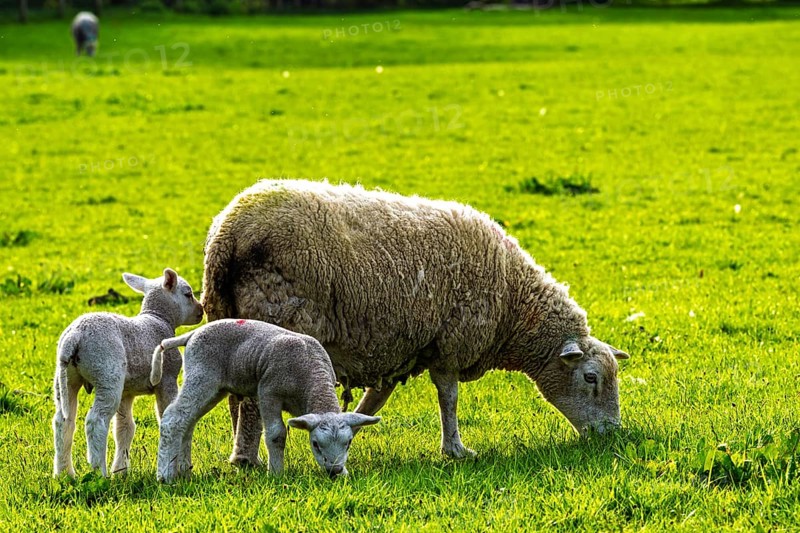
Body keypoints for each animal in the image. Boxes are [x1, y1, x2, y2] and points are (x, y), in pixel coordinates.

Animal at [52, 268, 203, 478]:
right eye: (188, 294)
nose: (201, 311)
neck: (158, 319)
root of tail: (75, 335)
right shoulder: (167, 379)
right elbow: (165, 415)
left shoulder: (127, 391)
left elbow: (125, 428)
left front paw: (121, 470)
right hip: (107, 374)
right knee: (96, 421)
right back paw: (100, 472)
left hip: (65, 378)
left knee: (63, 421)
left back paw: (64, 473)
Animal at [152, 319, 381, 483]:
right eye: (315, 444)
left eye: (348, 442)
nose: (335, 470)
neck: (311, 373)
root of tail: (193, 334)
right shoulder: (268, 392)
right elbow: (276, 434)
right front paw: (277, 474)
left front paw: (345, 474)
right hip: (202, 374)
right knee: (173, 417)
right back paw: (165, 475)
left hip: (215, 388)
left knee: (188, 421)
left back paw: (183, 470)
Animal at [201, 179, 630, 463]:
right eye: (590, 378)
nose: (612, 435)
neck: (513, 301)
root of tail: (228, 234)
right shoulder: (450, 344)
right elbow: (449, 399)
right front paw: (456, 450)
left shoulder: (399, 349)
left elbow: (375, 398)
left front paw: (352, 429)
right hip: (274, 320)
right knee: (251, 403)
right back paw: (246, 459)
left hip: (228, 319)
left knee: (237, 400)